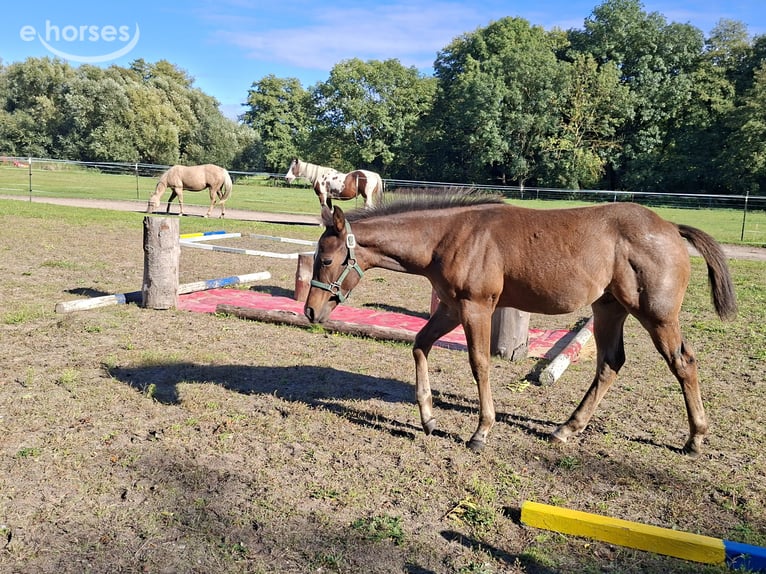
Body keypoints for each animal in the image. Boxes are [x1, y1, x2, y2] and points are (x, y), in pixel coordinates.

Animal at [304, 191, 737, 456]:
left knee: (683, 363)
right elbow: (420, 345)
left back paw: (696, 438)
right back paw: (566, 429)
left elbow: (479, 363)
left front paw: (481, 432)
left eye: (325, 259)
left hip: (656, 315)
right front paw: (427, 418)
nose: (310, 311)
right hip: (608, 309)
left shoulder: (476, 308)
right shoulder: (450, 308)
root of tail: (671, 227)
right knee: (610, 364)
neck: (448, 237)